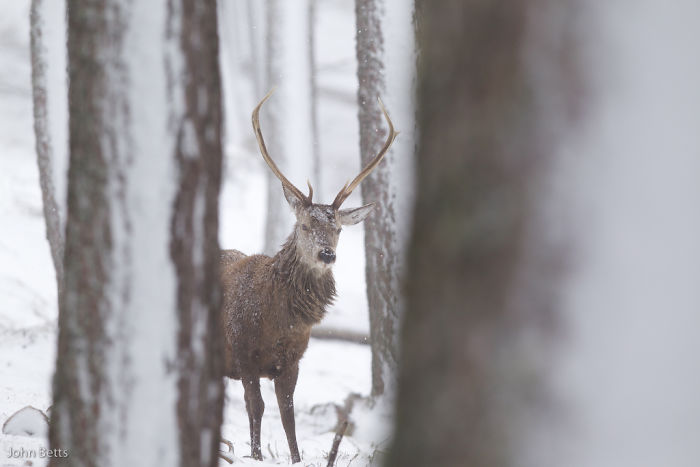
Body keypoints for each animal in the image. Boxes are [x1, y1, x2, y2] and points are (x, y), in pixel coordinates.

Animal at [219, 90, 397, 463]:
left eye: (339, 229)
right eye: (303, 225)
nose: (327, 254)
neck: (277, 323)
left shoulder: (293, 361)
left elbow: (287, 415)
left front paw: (296, 458)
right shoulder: (243, 352)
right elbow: (255, 407)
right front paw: (256, 456)